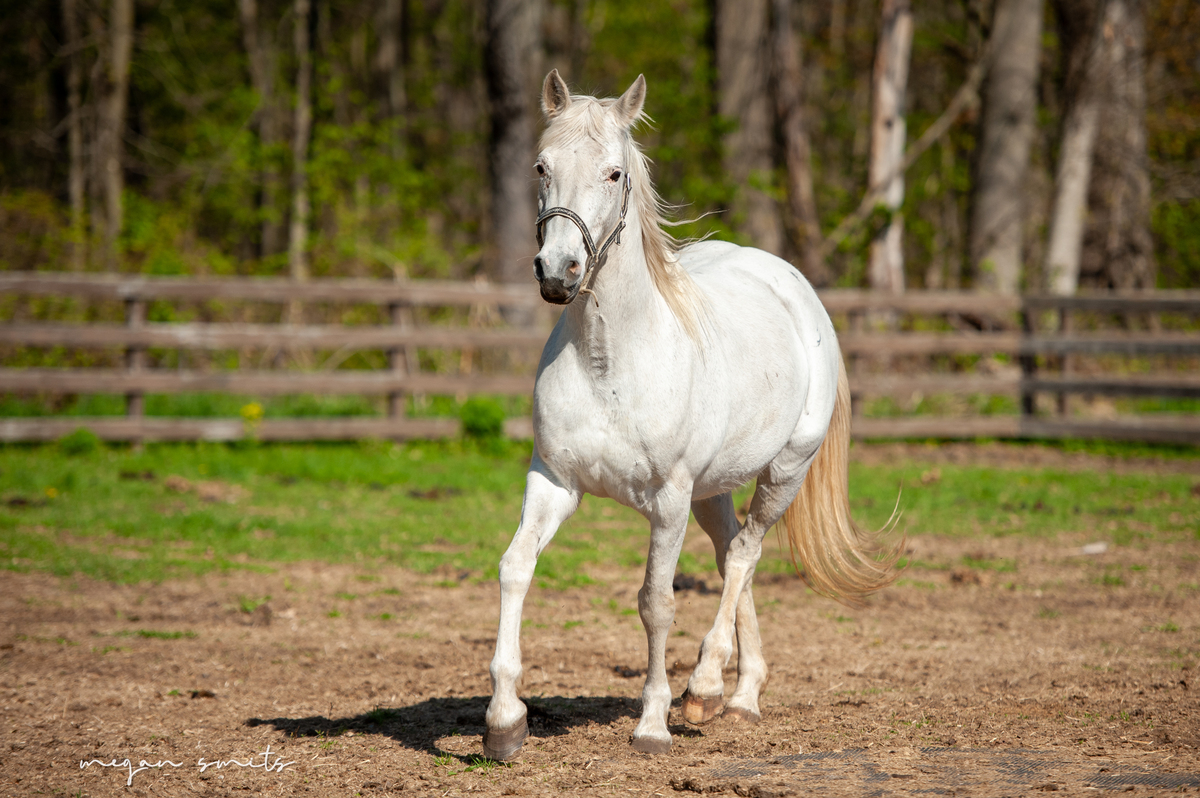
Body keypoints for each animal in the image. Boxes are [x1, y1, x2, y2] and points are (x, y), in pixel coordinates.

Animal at [482, 69, 898, 760]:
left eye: (614, 173)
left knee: (745, 555)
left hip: (783, 471)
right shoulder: (554, 482)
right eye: (542, 166)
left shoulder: (669, 500)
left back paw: (708, 688)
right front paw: (504, 720)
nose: (558, 272)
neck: (609, 362)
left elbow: (656, 601)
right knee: (733, 554)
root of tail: (790, 282)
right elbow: (516, 568)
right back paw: (741, 691)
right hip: (714, 490)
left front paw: (652, 724)